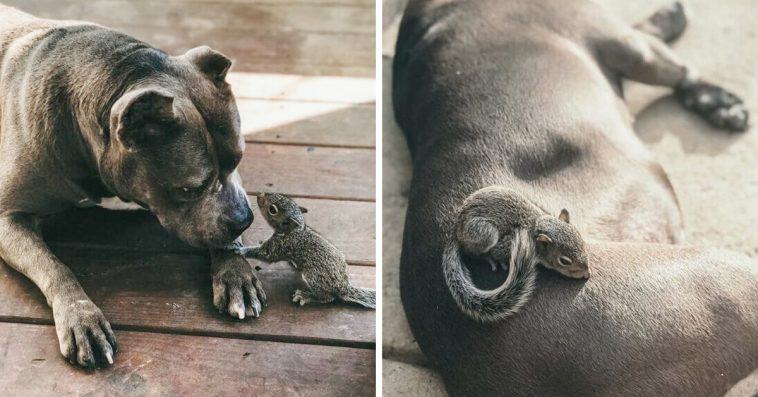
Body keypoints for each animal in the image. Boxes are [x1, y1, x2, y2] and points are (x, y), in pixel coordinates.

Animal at [0, 4, 268, 366]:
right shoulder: (8, 217)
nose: (245, 220)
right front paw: (80, 316)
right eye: (188, 190)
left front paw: (235, 271)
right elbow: (55, 266)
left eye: (239, 160)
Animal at [232, 193, 374, 310]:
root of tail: (343, 287)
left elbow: (264, 254)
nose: (259, 195)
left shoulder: (278, 246)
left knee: (327, 298)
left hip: (314, 276)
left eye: (272, 210)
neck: (293, 231)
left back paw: (306, 296)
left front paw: (241, 250)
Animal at [446, 186, 592, 322]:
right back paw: (488, 259)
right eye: (564, 261)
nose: (587, 273)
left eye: (580, 239)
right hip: (485, 233)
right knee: (471, 252)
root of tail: (456, 226)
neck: (537, 227)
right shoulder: (508, 244)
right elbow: (496, 252)